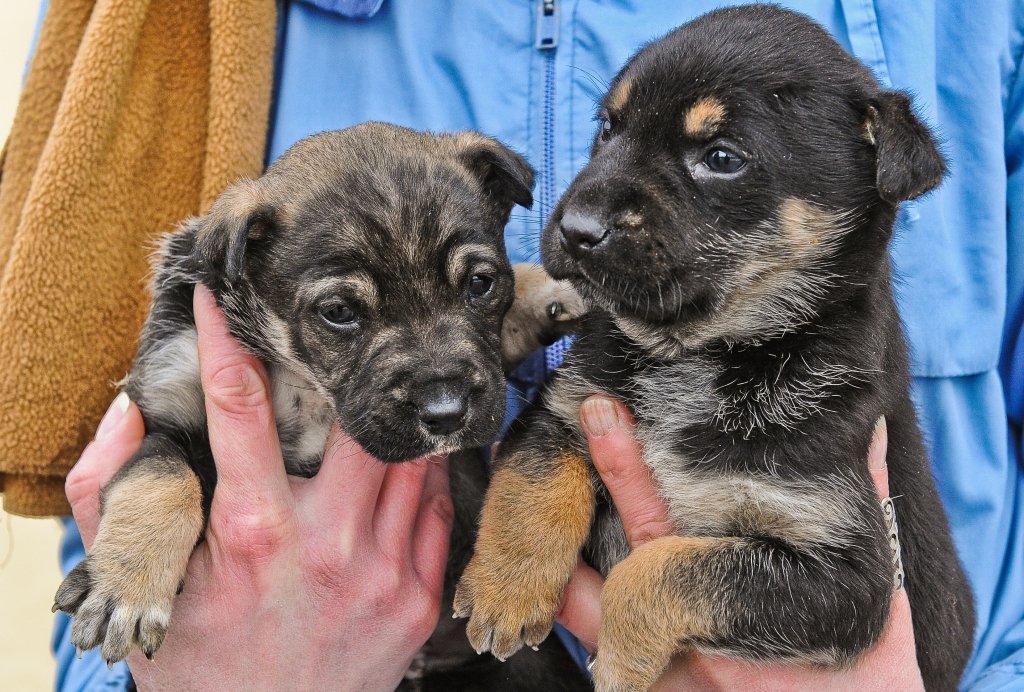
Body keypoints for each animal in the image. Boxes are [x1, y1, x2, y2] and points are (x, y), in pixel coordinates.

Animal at [51, 121, 589, 687]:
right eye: (339, 312)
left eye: (481, 283)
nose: (446, 415)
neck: (304, 379)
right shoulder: (167, 409)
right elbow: (159, 477)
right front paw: (125, 586)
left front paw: (548, 287)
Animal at [456, 6, 974, 692]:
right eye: (607, 130)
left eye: (722, 157)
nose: (575, 228)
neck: (707, 351)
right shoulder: (563, 409)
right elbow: (531, 482)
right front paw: (504, 591)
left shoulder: (847, 575)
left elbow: (666, 569)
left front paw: (619, 659)